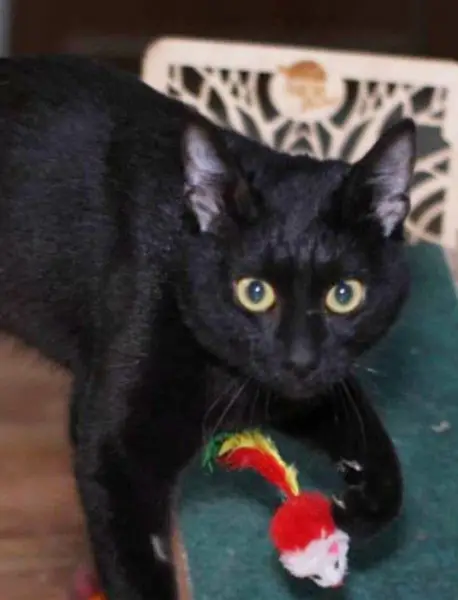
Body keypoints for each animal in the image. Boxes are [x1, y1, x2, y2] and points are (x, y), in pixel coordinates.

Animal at [0, 55, 415, 600]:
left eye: (344, 295)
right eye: (253, 291)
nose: (300, 359)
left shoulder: (287, 390)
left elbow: (377, 451)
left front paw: (358, 508)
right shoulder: (114, 451)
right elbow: (135, 565)